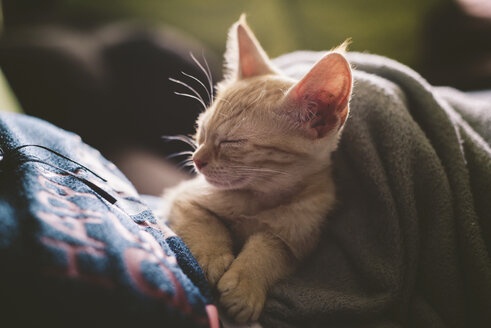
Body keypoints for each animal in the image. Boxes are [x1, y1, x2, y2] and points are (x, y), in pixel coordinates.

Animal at [162, 14, 354, 322]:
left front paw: (246, 284)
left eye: (232, 142)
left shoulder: (301, 239)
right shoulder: (182, 196)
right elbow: (203, 220)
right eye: (201, 129)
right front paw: (210, 257)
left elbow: (271, 248)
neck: (260, 198)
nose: (197, 160)